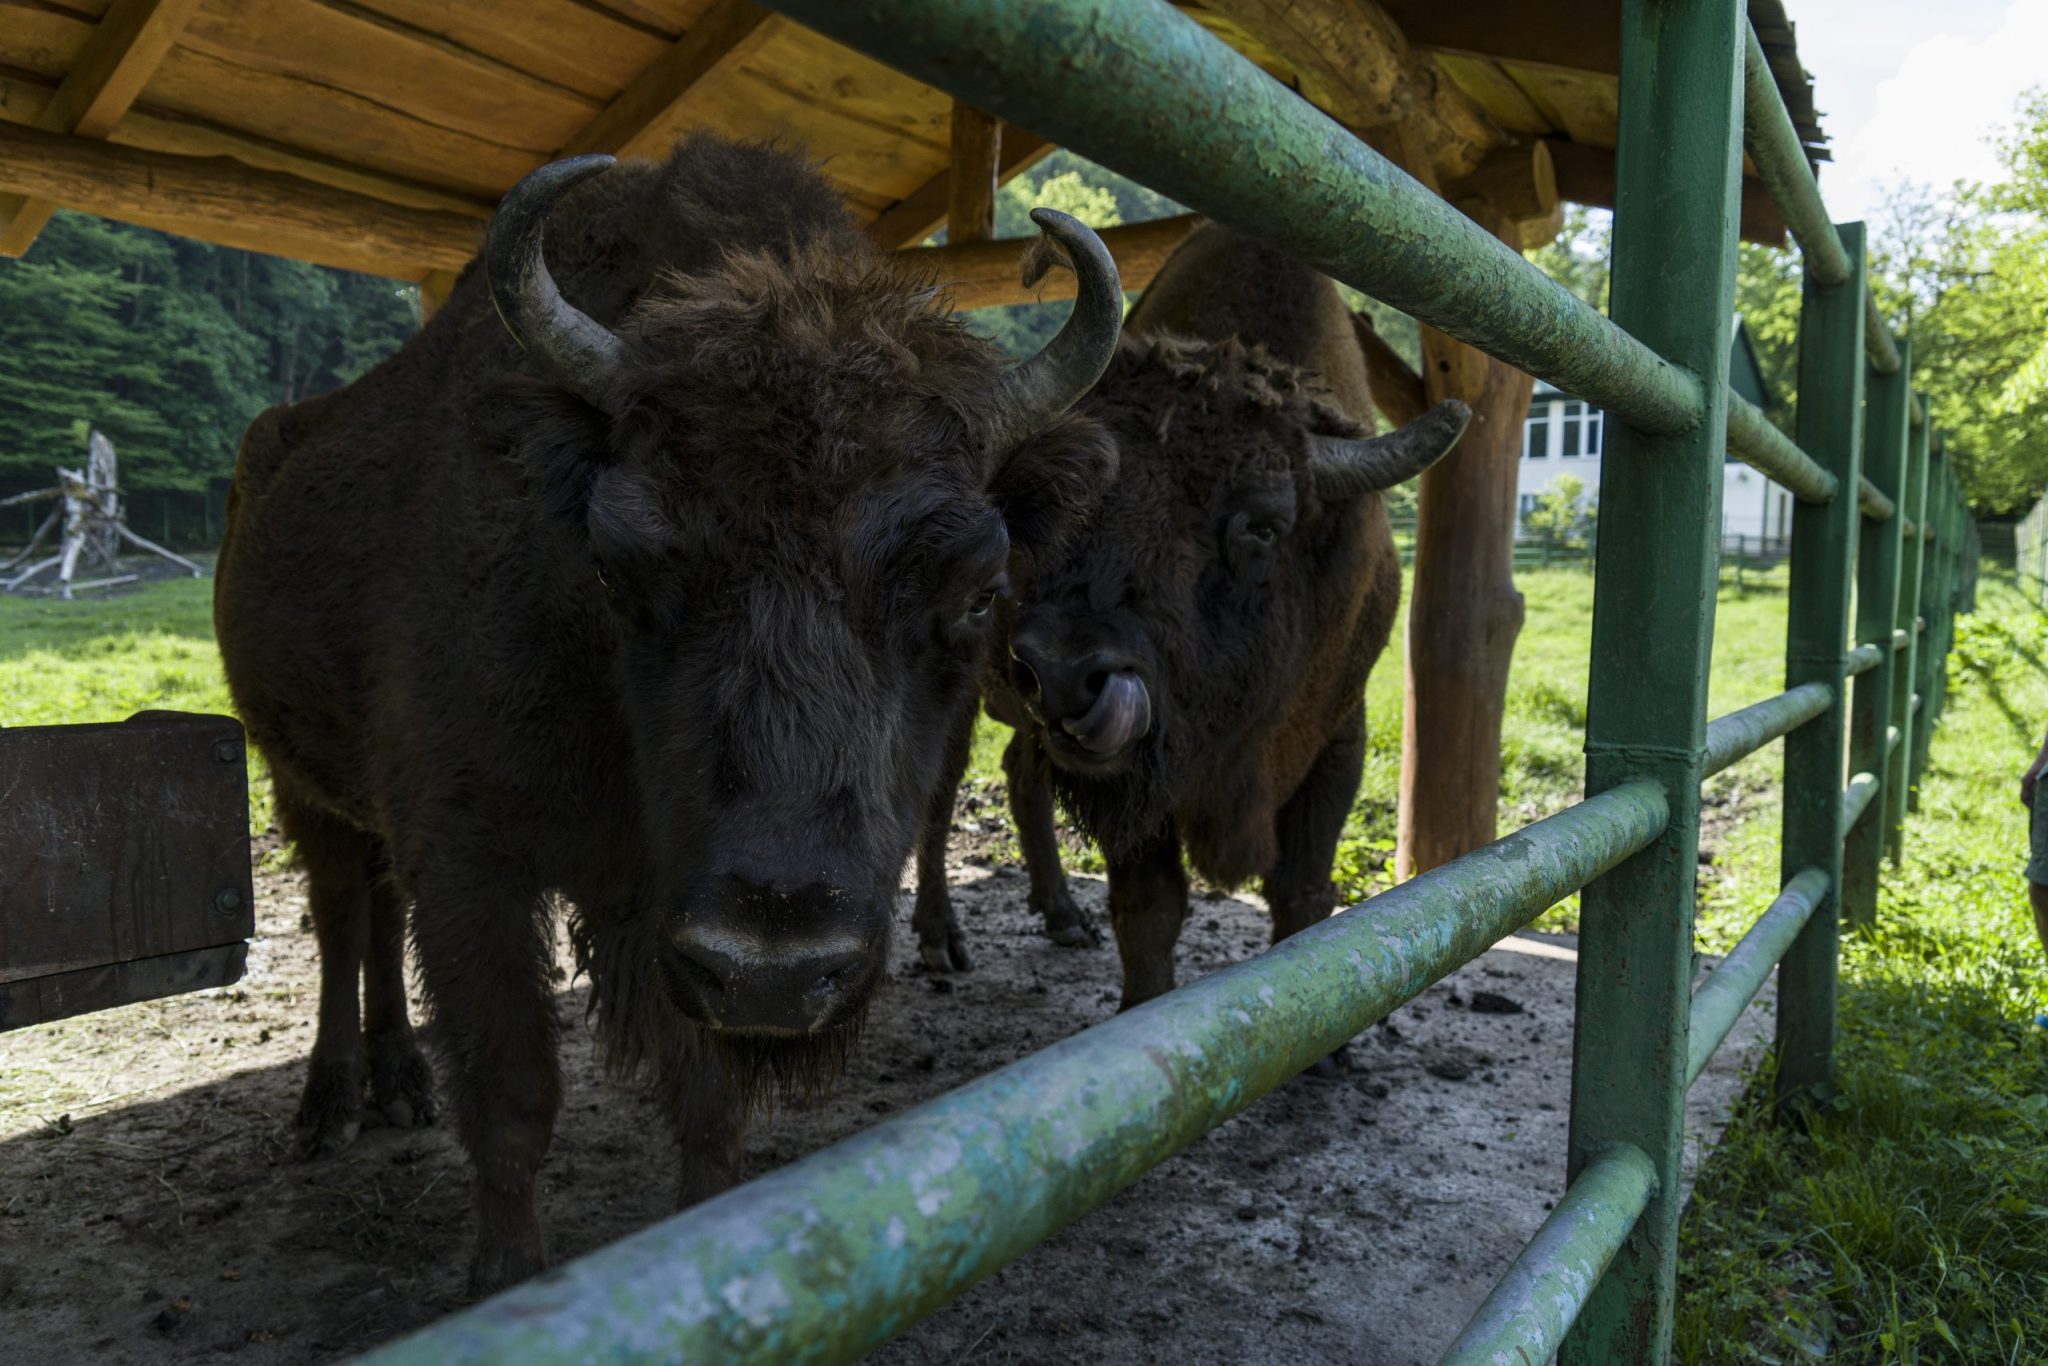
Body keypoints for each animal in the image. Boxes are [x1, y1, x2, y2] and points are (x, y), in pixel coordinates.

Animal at [211, 136, 1122, 1294]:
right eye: (618, 566)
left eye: (975, 590)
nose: (780, 966)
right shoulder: (470, 857)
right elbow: (511, 1092)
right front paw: (505, 1276)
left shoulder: (671, 920)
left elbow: (707, 1107)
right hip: (298, 779)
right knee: (340, 917)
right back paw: (331, 1104)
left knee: (370, 917)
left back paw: (400, 1082)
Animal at [909, 224, 1458, 1015]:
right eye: (1078, 497)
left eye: (1262, 525)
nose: (1063, 670)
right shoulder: (1142, 788)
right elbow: (1151, 905)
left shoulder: (1338, 736)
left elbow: (1302, 892)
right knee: (942, 791)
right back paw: (940, 938)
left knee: (1020, 773)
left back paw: (1062, 916)